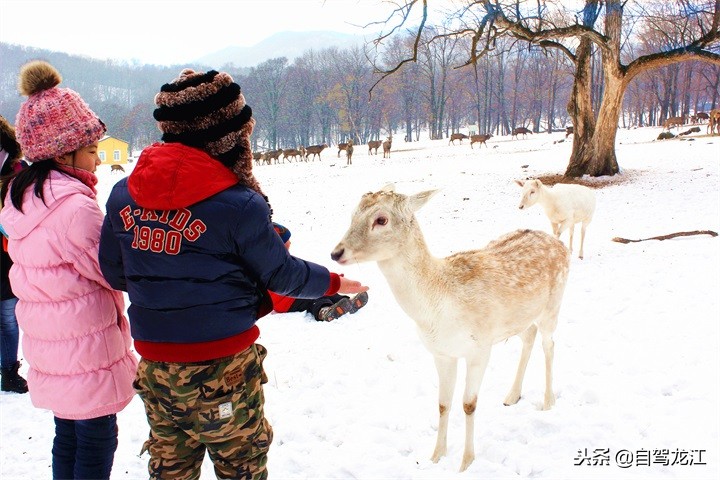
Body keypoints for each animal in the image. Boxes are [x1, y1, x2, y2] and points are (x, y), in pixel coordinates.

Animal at [330, 184, 570, 472]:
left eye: (381, 219)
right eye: (352, 214)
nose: (336, 253)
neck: (438, 310)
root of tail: (560, 245)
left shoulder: (480, 348)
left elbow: (468, 404)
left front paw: (466, 463)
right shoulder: (442, 353)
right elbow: (443, 404)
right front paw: (436, 456)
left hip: (553, 306)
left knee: (550, 344)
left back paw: (548, 402)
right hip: (518, 318)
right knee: (529, 336)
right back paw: (512, 395)